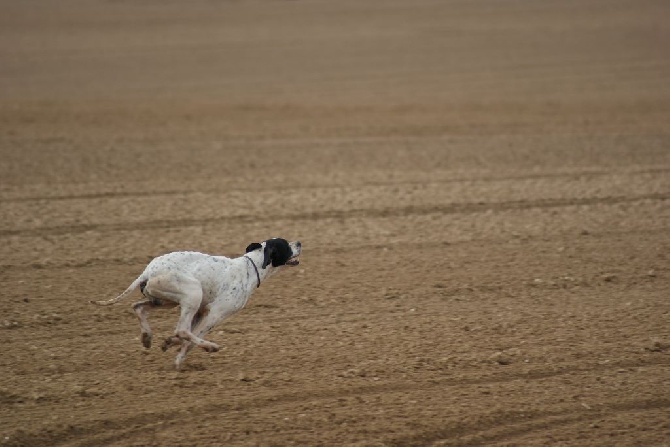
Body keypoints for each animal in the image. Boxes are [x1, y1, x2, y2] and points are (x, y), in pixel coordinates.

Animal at [89, 240, 302, 370]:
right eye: (286, 244)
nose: (299, 242)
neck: (250, 267)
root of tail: (146, 272)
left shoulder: (201, 311)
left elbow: (185, 336)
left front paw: (169, 343)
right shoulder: (215, 314)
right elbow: (190, 338)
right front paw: (178, 359)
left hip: (167, 301)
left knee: (139, 307)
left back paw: (147, 337)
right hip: (192, 292)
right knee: (181, 329)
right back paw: (210, 347)